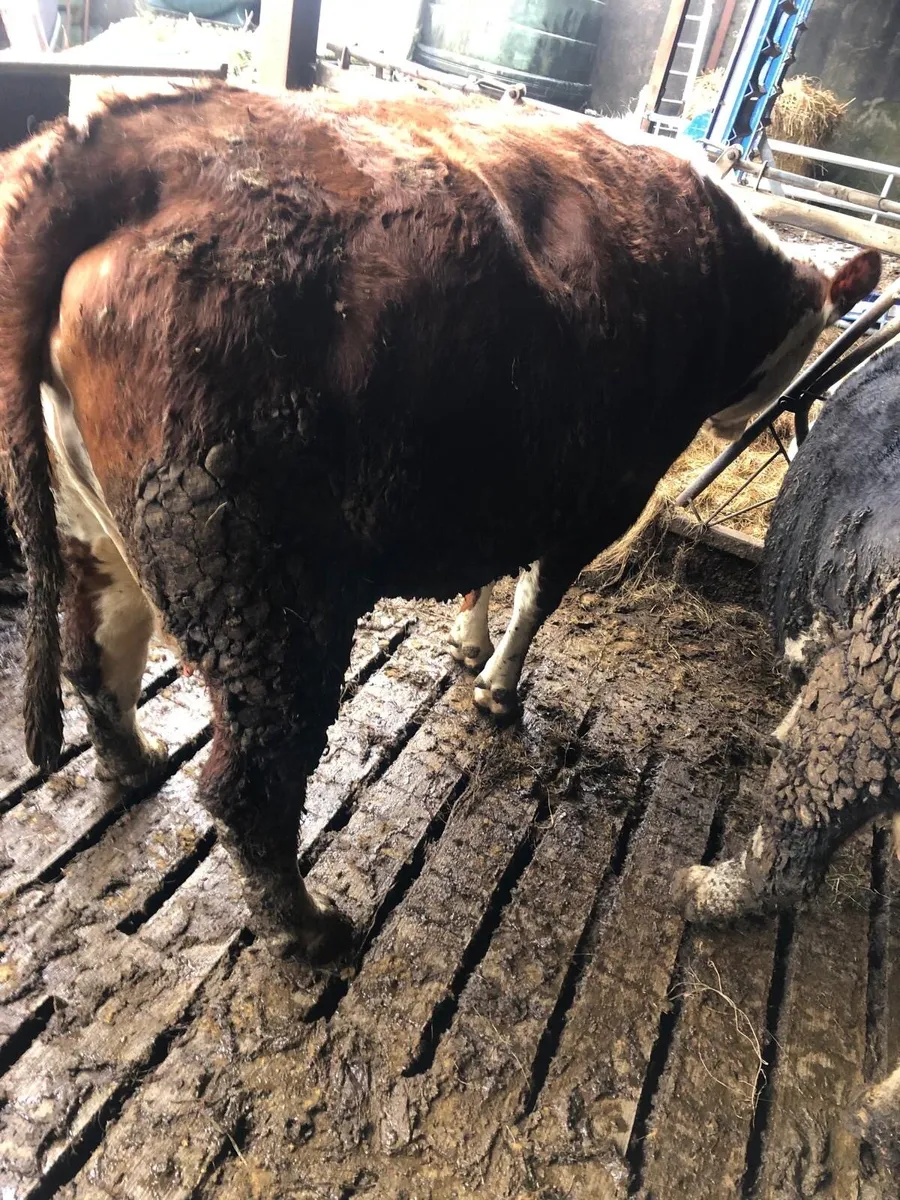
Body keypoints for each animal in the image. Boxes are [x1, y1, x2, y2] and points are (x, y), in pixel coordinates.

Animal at [0, 82, 879, 963]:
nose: (740, 423)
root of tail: (132, 142)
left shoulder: (511, 471)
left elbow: (491, 574)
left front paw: (468, 644)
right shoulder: (609, 492)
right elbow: (539, 596)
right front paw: (497, 689)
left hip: (90, 532)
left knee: (94, 655)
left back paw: (135, 759)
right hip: (260, 594)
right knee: (249, 783)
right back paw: (309, 928)